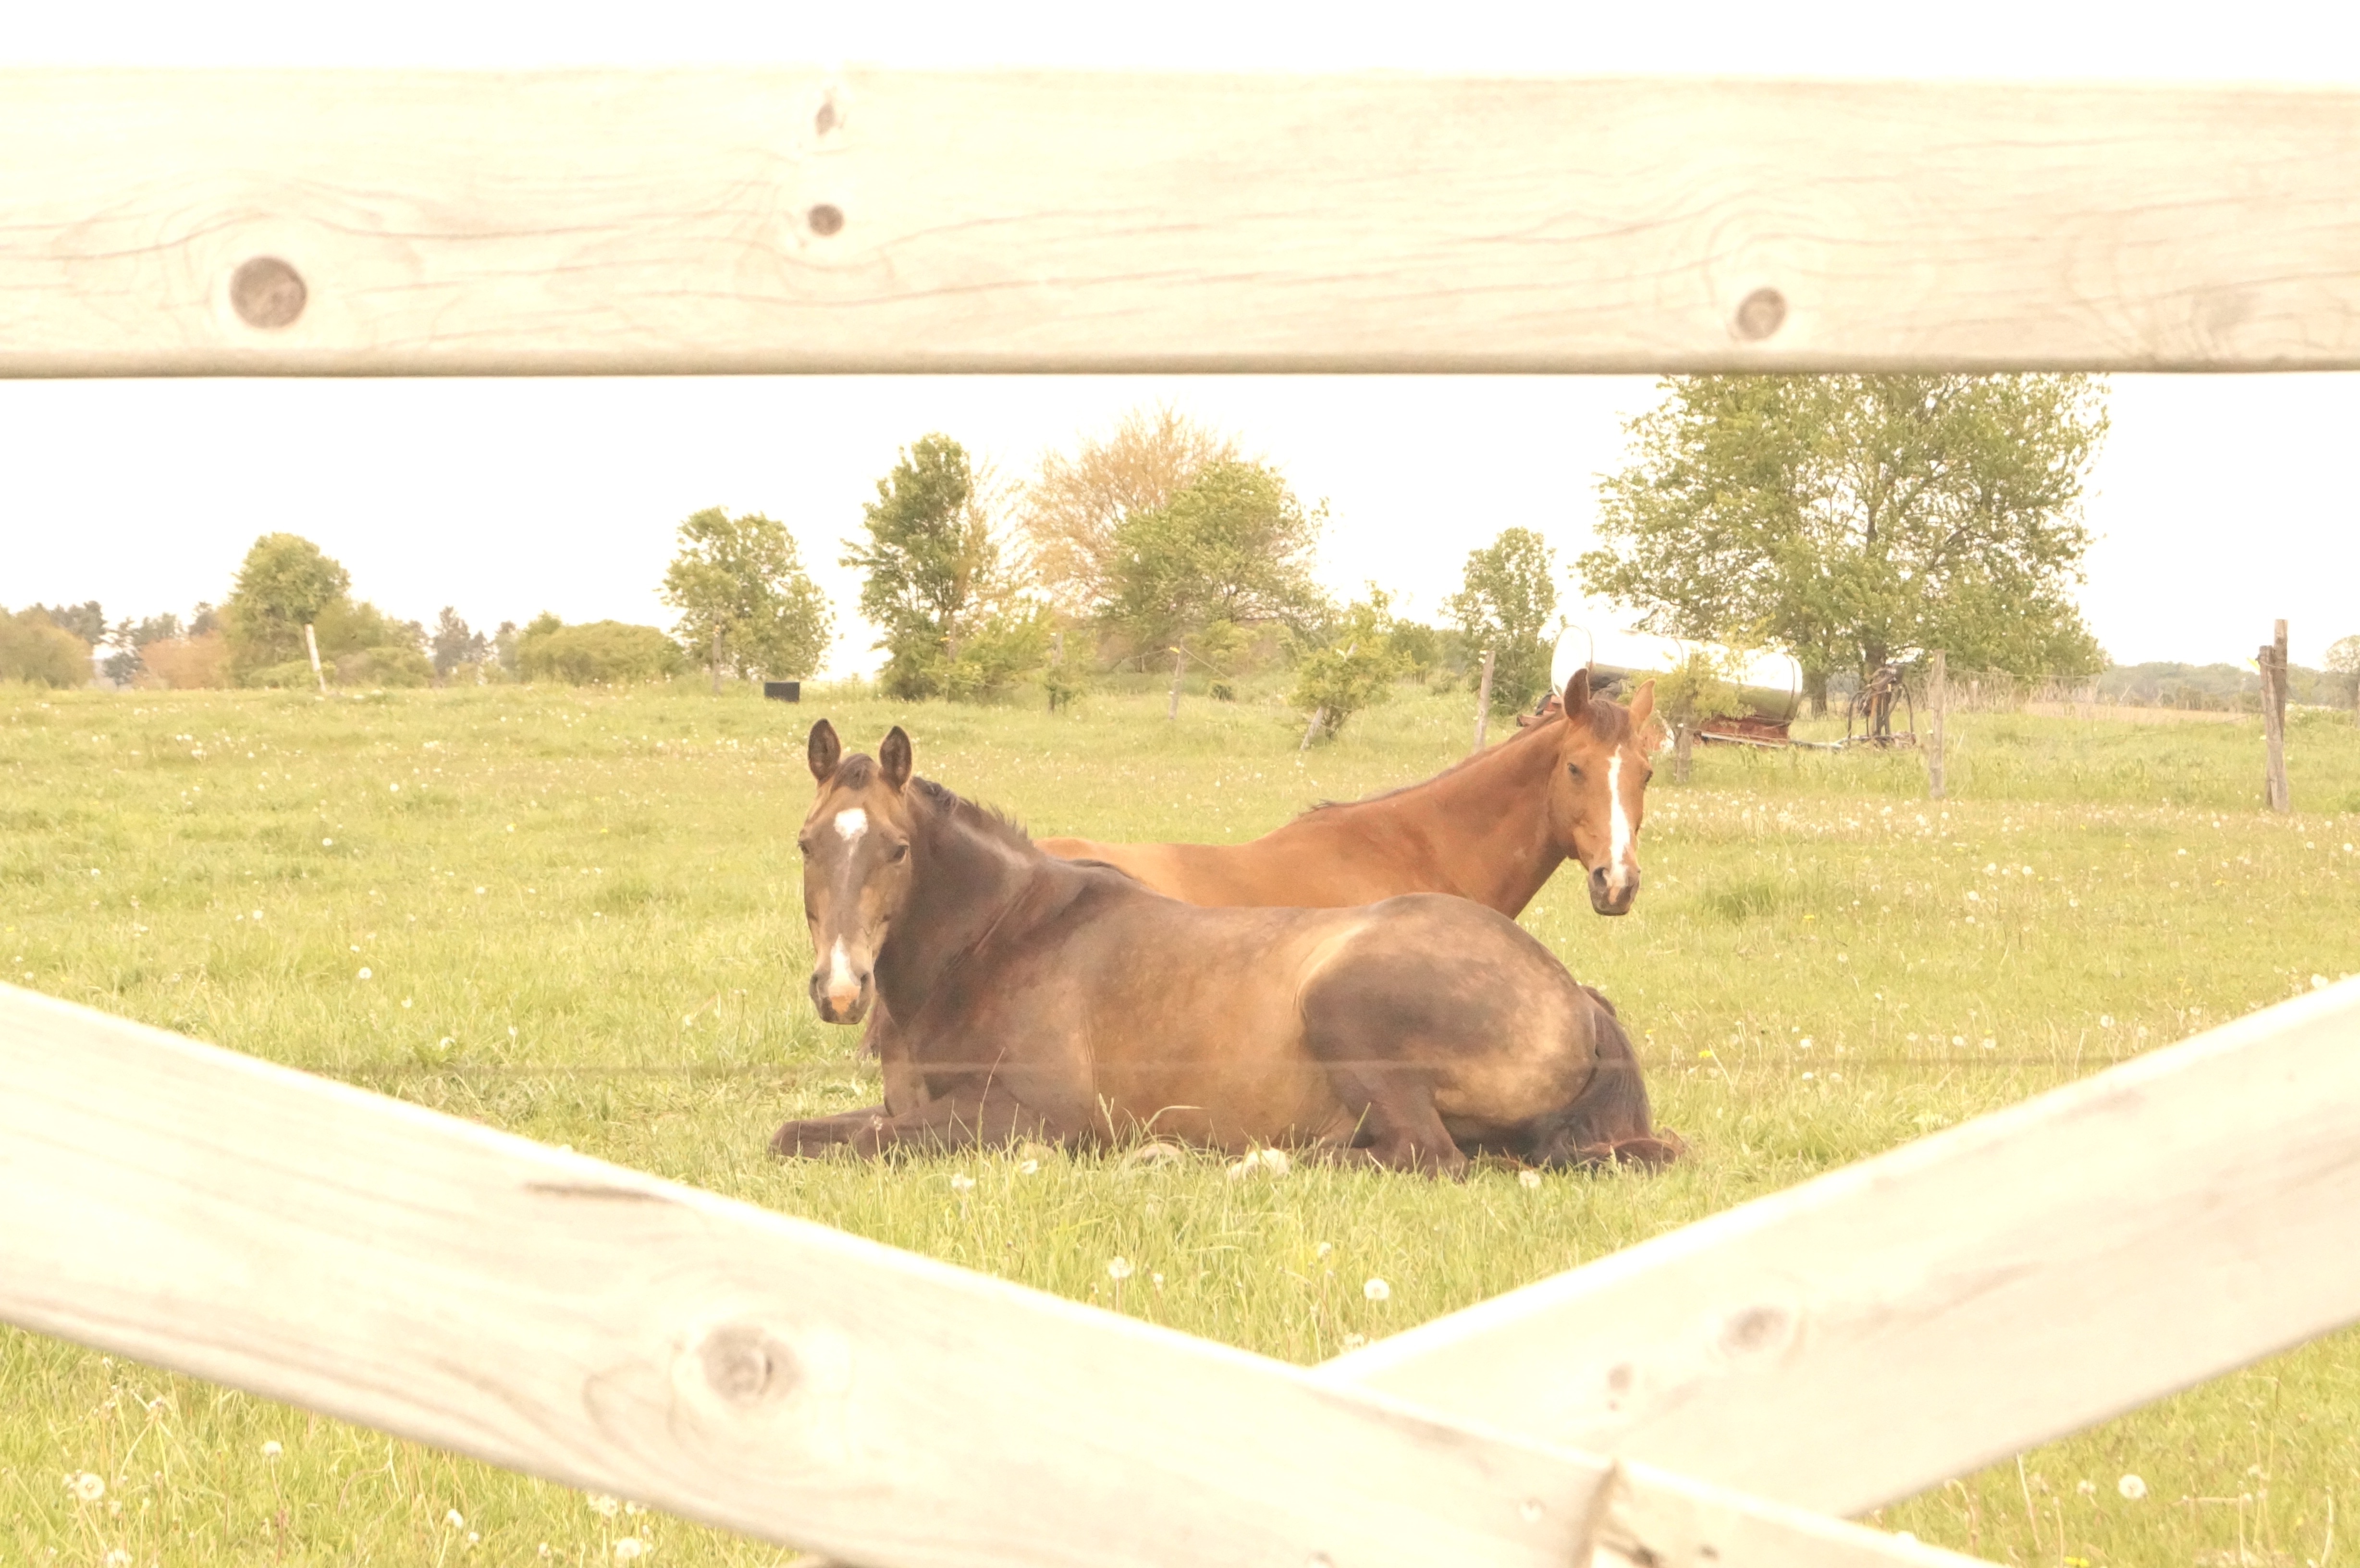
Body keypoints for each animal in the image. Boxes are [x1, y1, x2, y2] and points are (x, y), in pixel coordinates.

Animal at [764, 723, 1671, 1176]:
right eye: (806, 843)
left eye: (896, 850)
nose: (840, 989)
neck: (998, 945)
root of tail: (1576, 996)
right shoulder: (903, 1109)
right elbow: (796, 1135)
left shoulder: (1029, 1120)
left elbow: (865, 1146)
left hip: (1348, 1005)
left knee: (1421, 1156)